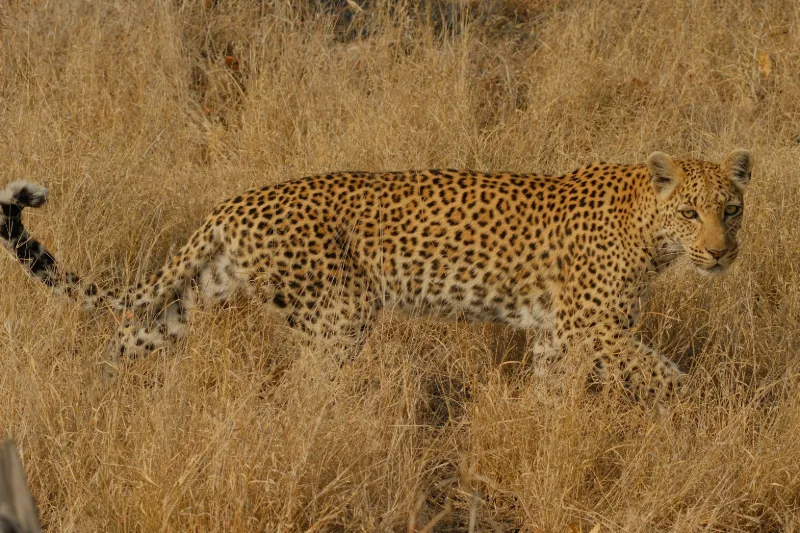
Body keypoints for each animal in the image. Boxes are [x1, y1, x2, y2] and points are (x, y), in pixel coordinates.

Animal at [0, 149, 752, 404]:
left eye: (732, 209)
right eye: (691, 211)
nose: (721, 253)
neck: (651, 233)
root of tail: (235, 202)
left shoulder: (556, 336)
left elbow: (550, 391)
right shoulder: (593, 327)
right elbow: (665, 373)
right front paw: (713, 411)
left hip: (195, 298)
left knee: (128, 333)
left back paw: (94, 397)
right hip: (342, 311)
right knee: (303, 388)